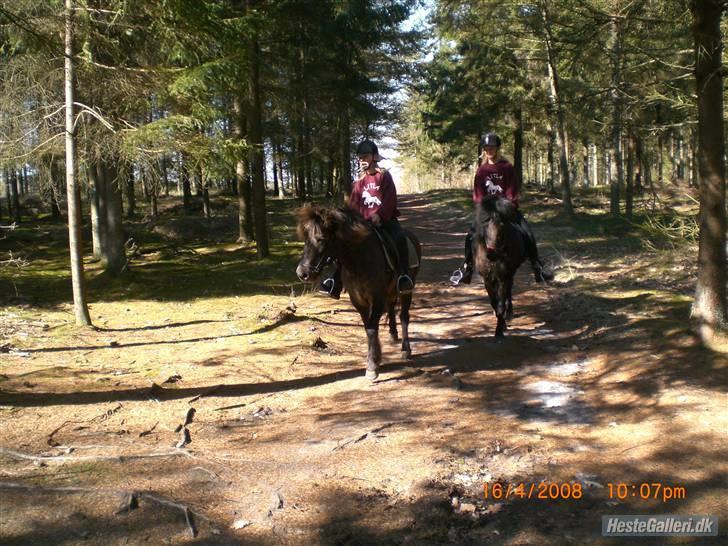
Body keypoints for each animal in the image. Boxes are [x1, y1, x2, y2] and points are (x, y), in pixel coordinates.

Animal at [294, 204, 420, 378]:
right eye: (306, 239)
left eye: (321, 238)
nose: (302, 273)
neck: (359, 261)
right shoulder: (358, 300)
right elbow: (368, 327)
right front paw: (376, 358)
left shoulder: (377, 297)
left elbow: (372, 328)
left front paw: (372, 366)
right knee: (391, 308)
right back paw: (392, 334)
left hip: (406, 289)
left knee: (404, 316)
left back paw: (405, 349)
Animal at [472, 196, 528, 338]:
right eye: (485, 224)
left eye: (503, 226)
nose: (491, 254)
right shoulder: (487, 279)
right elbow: (494, 301)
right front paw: (500, 323)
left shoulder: (504, 277)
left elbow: (501, 303)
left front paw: (499, 330)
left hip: (509, 274)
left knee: (508, 291)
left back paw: (509, 313)